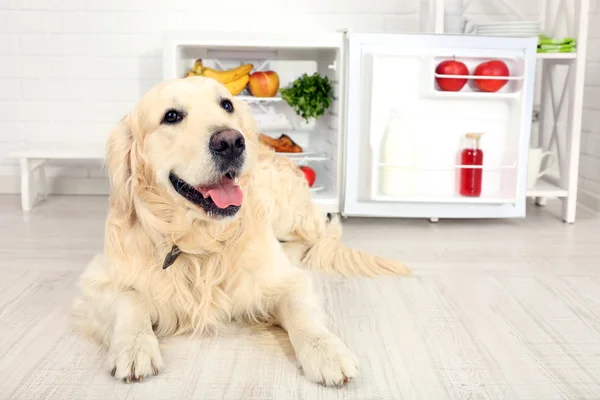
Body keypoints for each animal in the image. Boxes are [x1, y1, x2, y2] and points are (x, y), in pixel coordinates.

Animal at [69, 76, 408, 386]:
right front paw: (134, 346)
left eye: (227, 105)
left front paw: (326, 351)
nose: (231, 141)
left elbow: (300, 309)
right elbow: (131, 298)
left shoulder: (286, 279)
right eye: (171, 116)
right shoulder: (96, 280)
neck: (201, 241)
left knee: (312, 237)